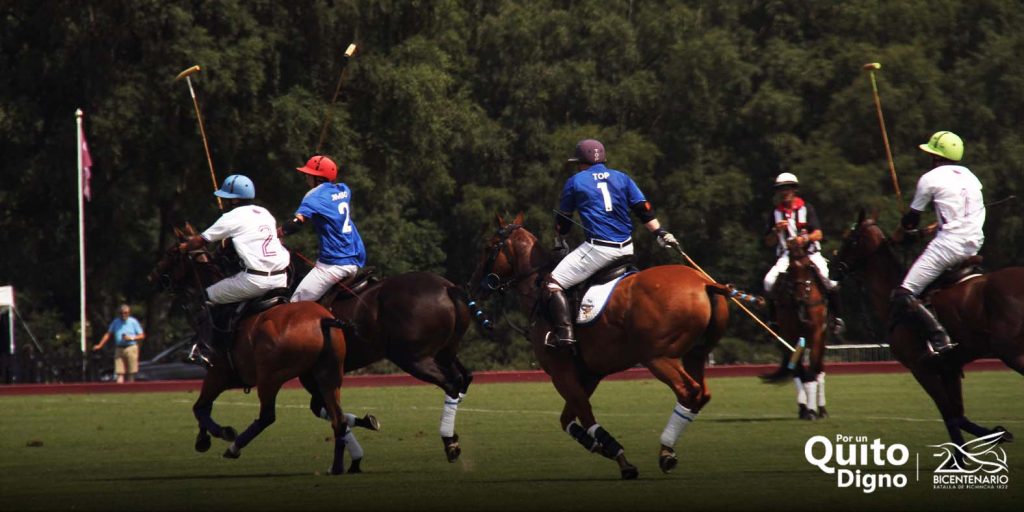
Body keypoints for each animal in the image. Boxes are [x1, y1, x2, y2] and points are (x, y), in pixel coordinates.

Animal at [150, 227, 352, 475]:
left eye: (172, 252)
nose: (154, 277)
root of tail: (322, 320)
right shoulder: (223, 377)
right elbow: (204, 407)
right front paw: (202, 439)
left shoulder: (218, 373)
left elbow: (200, 407)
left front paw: (219, 434)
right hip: (327, 374)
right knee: (338, 419)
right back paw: (337, 466)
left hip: (270, 377)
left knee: (267, 416)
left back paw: (234, 447)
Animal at [323, 270, 474, 462]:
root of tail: (447, 288)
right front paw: (368, 423)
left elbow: (332, 413)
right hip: (444, 353)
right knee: (464, 378)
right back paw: (452, 437)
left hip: (412, 358)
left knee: (452, 383)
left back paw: (449, 442)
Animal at [469, 213, 732, 479]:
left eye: (488, 247)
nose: (474, 286)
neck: (537, 293)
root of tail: (704, 284)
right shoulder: (589, 374)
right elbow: (567, 419)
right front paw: (602, 447)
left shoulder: (561, 372)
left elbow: (584, 415)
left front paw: (620, 458)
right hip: (695, 354)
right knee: (701, 393)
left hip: (659, 357)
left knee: (688, 391)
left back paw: (666, 452)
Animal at [761, 237, 830, 420]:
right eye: (791, 268)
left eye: (808, 266)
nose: (799, 298)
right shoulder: (790, 335)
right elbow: (798, 370)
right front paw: (805, 409)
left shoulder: (816, 332)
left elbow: (812, 369)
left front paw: (813, 410)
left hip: (822, 336)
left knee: (819, 368)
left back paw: (822, 409)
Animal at [834, 210, 1021, 452]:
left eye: (850, 239)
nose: (833, 267)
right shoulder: (950, 367)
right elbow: (958, 415)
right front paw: (998, 434)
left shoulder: (921, 368)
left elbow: (950, 416)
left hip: (1011, 353)